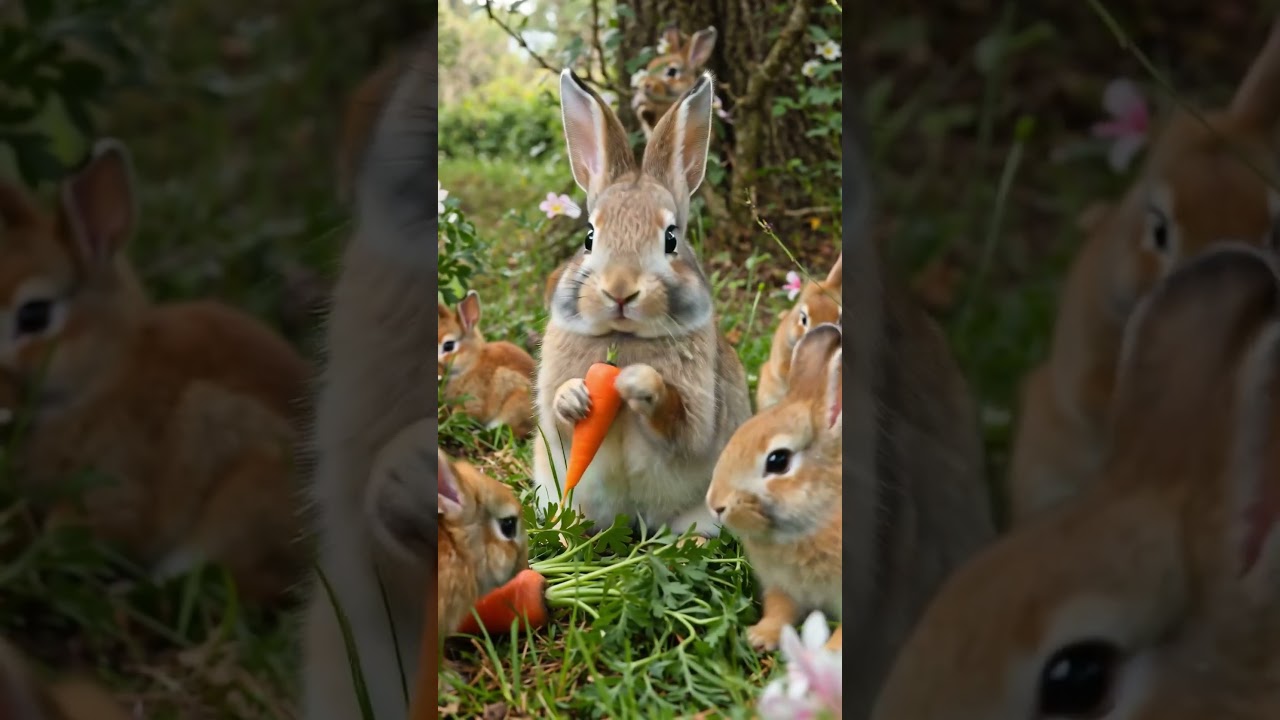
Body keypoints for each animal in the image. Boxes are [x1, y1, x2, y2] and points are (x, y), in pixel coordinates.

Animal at [531, 68, 752, 540]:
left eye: (670, 238)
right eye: (589, 237)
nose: (620, 289)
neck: (622, 338)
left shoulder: (698, 416)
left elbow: (679, 423)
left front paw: (637, 382)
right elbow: (557, 418)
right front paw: (574, 397)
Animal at [707, 322, 844, 652]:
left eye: (778, 461)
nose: (716, 505)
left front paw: (828, 653)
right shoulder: (783, 587)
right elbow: (780, 612)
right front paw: (759, 637)